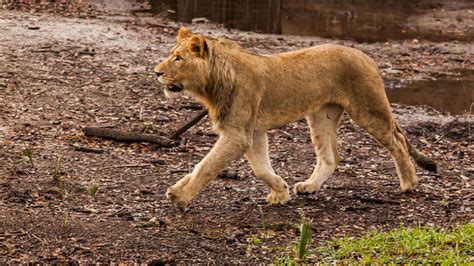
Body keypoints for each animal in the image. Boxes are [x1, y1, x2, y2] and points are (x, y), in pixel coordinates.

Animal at [153, 28, 436, 209]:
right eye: (171, 55)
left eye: (178, 58)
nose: (156, 72)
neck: (211, 84)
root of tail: (368, 57)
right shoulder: (253, 132)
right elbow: (260, 167)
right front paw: (280, 191)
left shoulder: (237, 133)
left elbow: (207, 166)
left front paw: (180, 197)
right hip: (321, 115)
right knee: (330, 157)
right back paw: (310, 186)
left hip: (367, 109)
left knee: (398, 142)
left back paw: (408, 183)